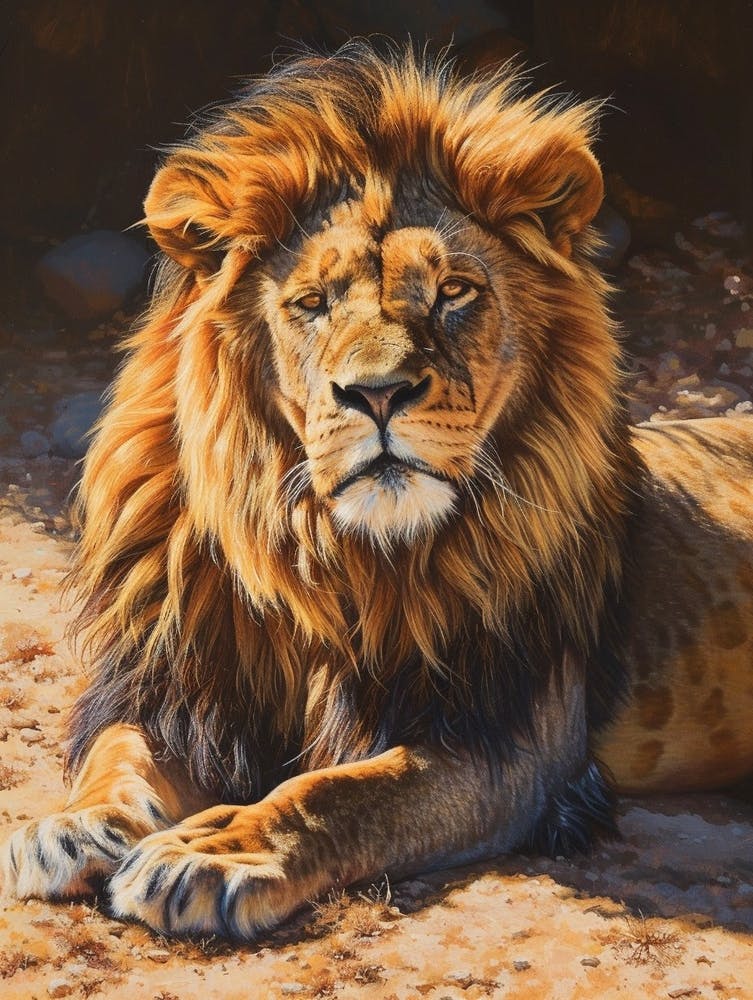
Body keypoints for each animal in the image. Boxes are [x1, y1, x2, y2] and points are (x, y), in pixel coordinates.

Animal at [3, 43, 753, 940]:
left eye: (454, 291)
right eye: (311, 303)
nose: (378, 393)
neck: (326, 555)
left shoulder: (507, 741)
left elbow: (336, 792)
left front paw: (215, 850)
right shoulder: (175, 686)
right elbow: (119, 754)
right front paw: (73, 826)